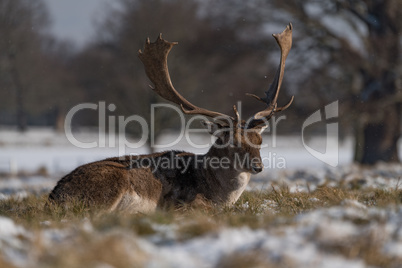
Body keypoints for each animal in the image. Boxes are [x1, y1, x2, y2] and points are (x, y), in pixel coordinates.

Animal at [48, 23, 294, 214]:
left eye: (260, 141)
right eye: (233, 141)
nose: (258, 166)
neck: (217, 193)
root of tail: (54, 197)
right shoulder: (180, 203)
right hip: (108, 188)